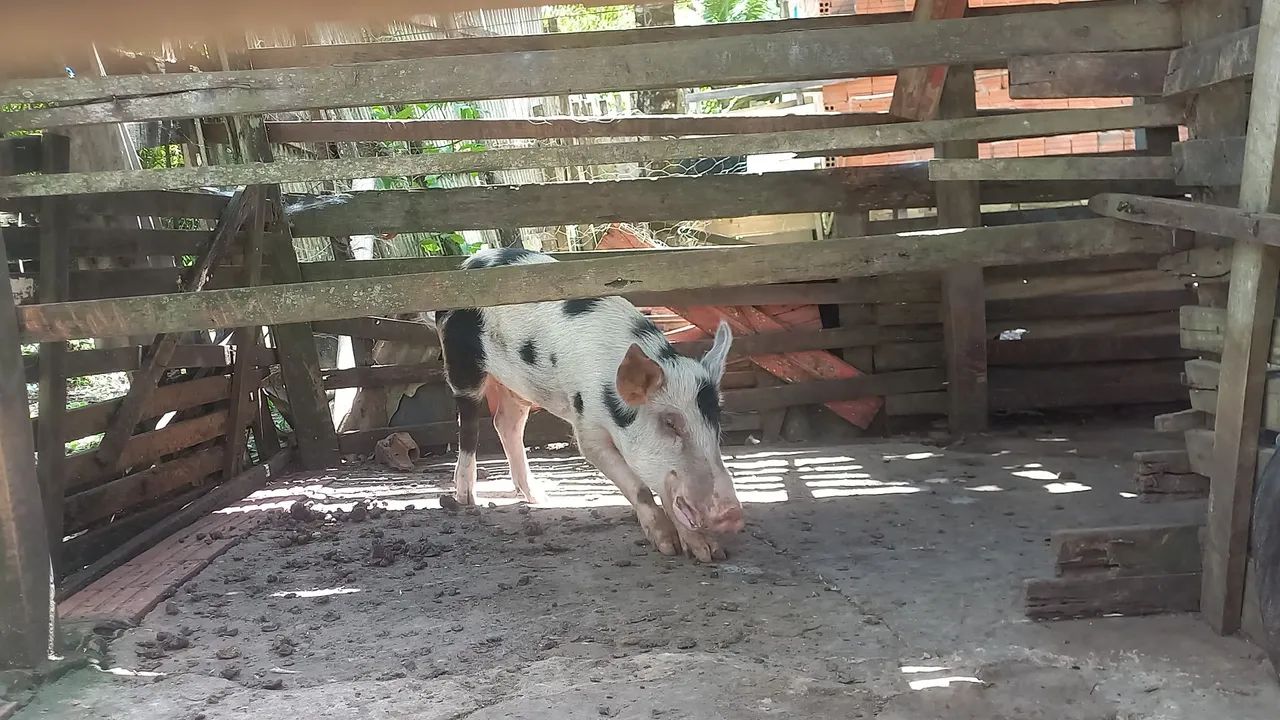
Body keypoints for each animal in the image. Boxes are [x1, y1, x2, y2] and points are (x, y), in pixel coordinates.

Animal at [435, 247, 745, 561]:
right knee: (469, 425)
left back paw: (539, 496)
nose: (732, 515)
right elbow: (636, 485)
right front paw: (667, 546)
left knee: (506, 424)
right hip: (461, 360)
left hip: (517, 386)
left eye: (716, 423)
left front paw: (709, 552)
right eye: (670, 423)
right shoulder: (588, 424)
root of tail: (469, 262)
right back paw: (466, 498)